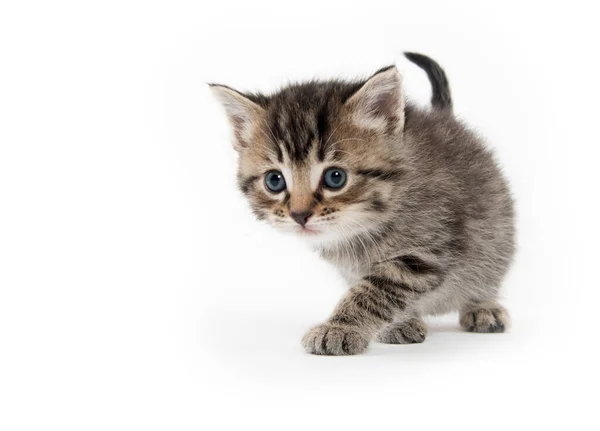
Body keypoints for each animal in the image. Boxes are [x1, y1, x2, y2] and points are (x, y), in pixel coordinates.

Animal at [211, 52, 516, 356]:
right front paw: (397, 323)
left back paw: (483, 306)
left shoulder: (426, 251)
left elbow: (375, 291)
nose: (299, 214)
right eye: (274, 181)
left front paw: (339, 328)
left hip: (495, 235)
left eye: (335, 177)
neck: (362, 228)